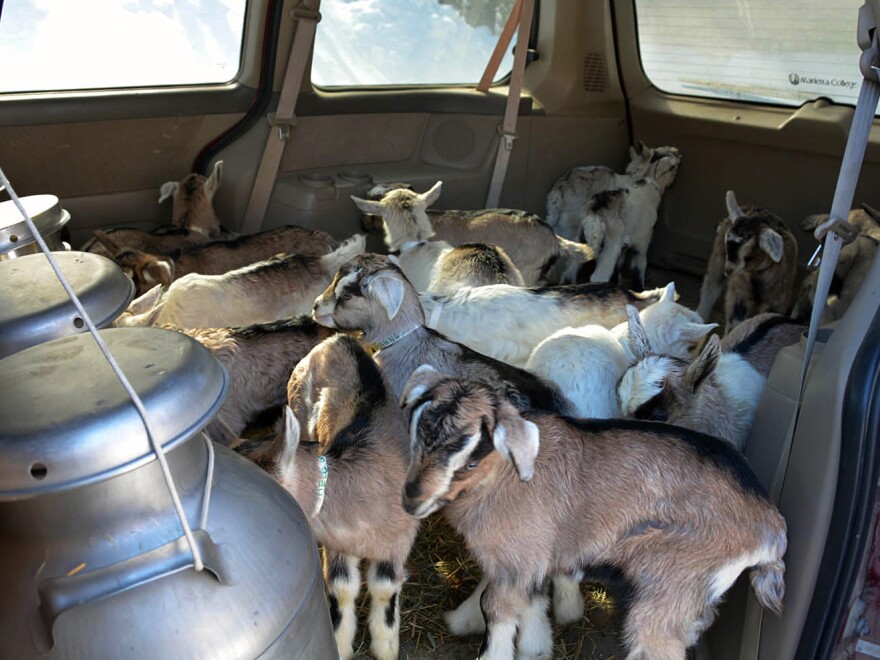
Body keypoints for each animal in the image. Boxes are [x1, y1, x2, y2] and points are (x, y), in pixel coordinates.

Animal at [696, 191, 800, 336]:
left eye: (750, 256)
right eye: (727, 246)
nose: (728, 270)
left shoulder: (776, 299)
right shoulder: (739, 295)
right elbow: (735, 323)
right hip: (718, 257)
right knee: (711, 286)